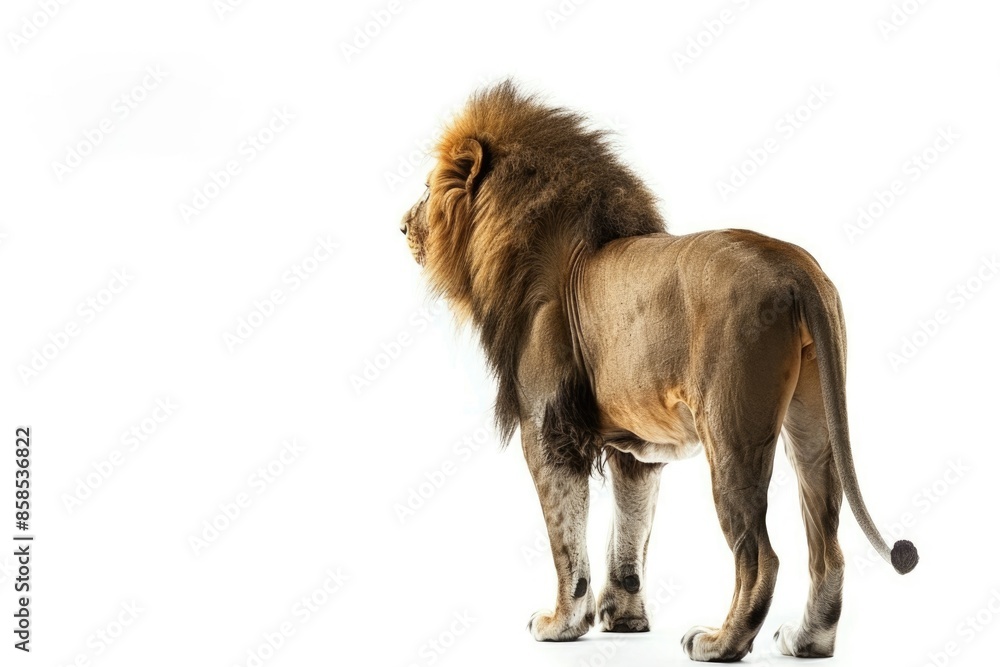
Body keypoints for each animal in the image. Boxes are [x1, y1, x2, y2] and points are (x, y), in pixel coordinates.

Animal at [400, 81, 918, 662]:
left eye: (426, 190)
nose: (401, 226)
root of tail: (795, 269)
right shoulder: (632, 447)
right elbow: (630, 533)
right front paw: (624, 620)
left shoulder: (549, 432)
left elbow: (566, 542)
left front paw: (561, 624)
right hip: (813, 426)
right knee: (827, 548)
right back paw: (807, 640)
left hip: (731, 432)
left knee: (760, 555)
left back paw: (719, 642)